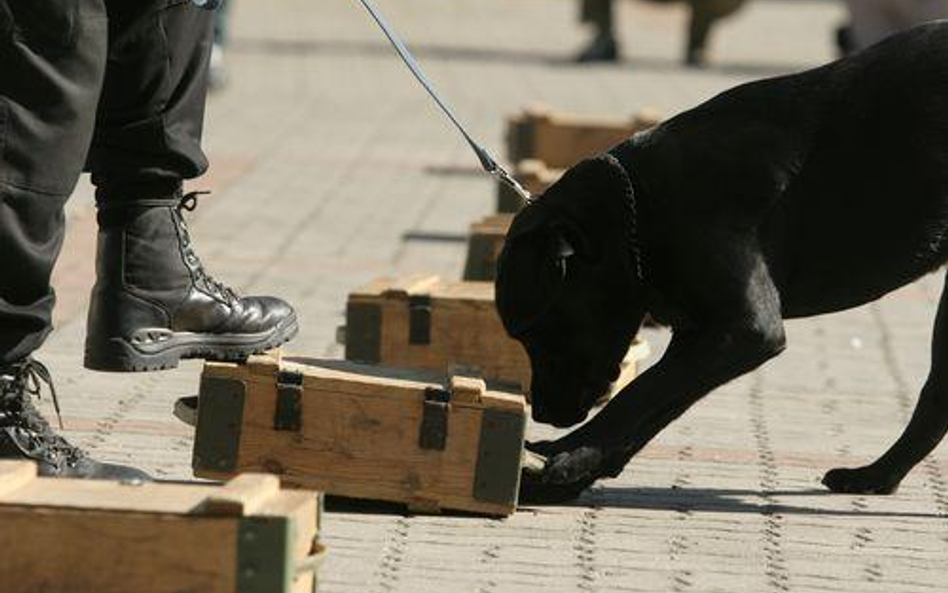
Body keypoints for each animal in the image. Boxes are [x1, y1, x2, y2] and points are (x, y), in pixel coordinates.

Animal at [496, 22, 948, 500]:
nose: (542, 413)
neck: (641, 205)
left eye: (538, 335)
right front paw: (578, 471)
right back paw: (877, 476)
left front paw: (566, 455)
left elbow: (639, 394)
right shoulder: (703, 333)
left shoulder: (744, 329)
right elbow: (658, 404)